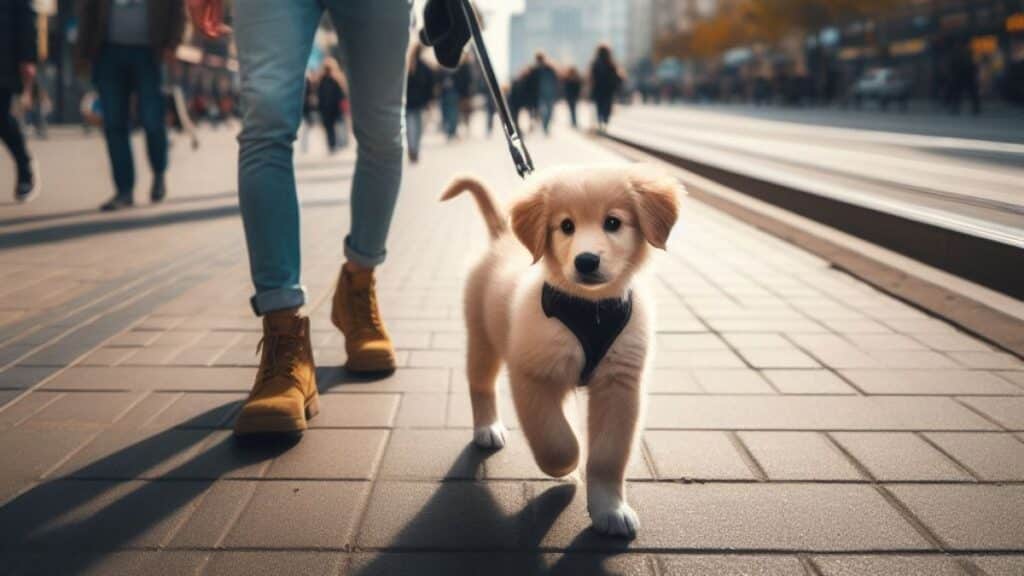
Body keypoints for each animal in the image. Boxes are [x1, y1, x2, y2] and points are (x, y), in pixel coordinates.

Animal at [442, 163, 675, 537]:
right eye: (566, 226)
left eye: (613, 222)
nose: (586, 261)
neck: (590, 309)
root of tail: (502, 235)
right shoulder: (532, 374)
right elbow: (555, 439)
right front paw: (568, 467)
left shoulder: (620, 385)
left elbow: (609, 455)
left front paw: (610, 510)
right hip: (481, 337)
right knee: (480, 383)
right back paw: (487, 428)